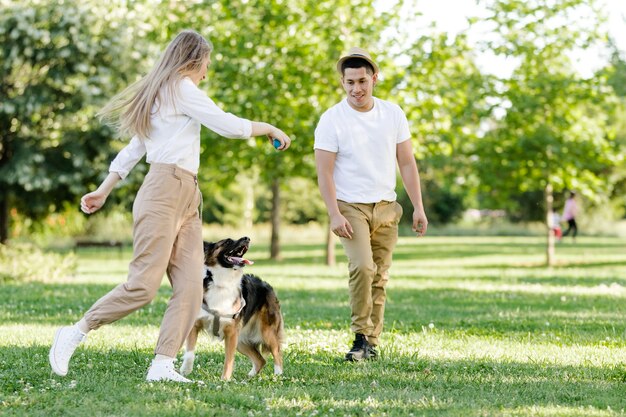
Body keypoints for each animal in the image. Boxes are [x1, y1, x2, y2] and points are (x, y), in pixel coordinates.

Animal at [179, 236, 284, 378]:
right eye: (227, 241)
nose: (247, 238)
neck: (223, 283)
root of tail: (266, 285)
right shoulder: (195, 325)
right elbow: (189, 352)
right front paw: (185, 369)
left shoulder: (231, 333)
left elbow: (228, 360)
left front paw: (225, 380)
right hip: (241, 341)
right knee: (260, 360)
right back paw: (249, 377)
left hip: (266, 332)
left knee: (277, 352)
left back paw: (278, 375)